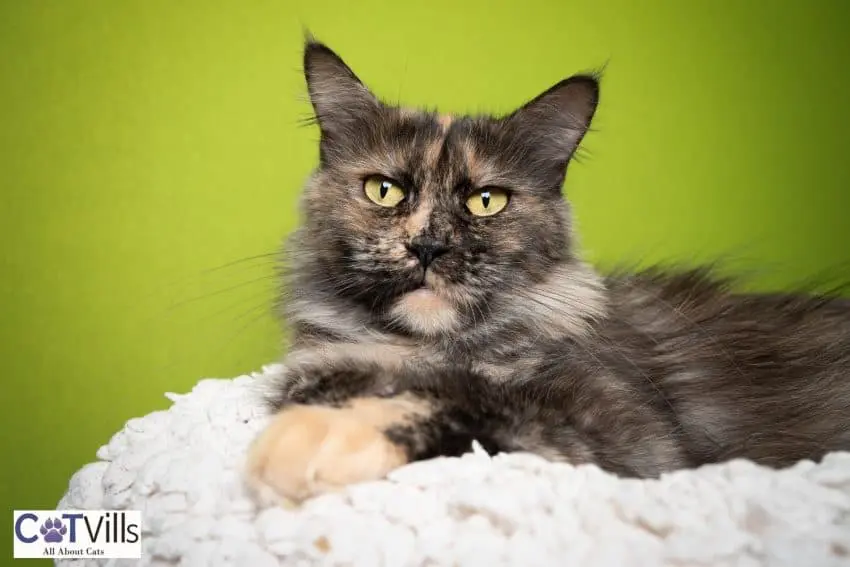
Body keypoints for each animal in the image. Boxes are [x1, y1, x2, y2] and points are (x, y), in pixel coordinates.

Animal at [243, 38, 848, 502]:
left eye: (487, 201)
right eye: (383, 190)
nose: (429, 247)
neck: (425, 350)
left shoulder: (631, 437)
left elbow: (467, 398)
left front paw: (317, 437)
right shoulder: (321, 368)